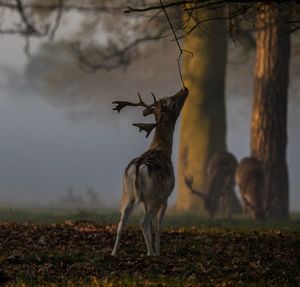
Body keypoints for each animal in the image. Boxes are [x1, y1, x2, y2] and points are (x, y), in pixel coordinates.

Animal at [111, 88, 189, 256]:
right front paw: (156, 251)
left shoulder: (146, 201)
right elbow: (158, 226)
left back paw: (114, 253)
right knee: (143, 221)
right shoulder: (165, 197)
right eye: (171, 102)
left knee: (122, 222)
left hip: (128, 194)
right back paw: (151, 254)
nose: (184, 89)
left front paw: (151, 249)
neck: (163, 150)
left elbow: (152, 226)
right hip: (154, 196)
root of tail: (138, 166)